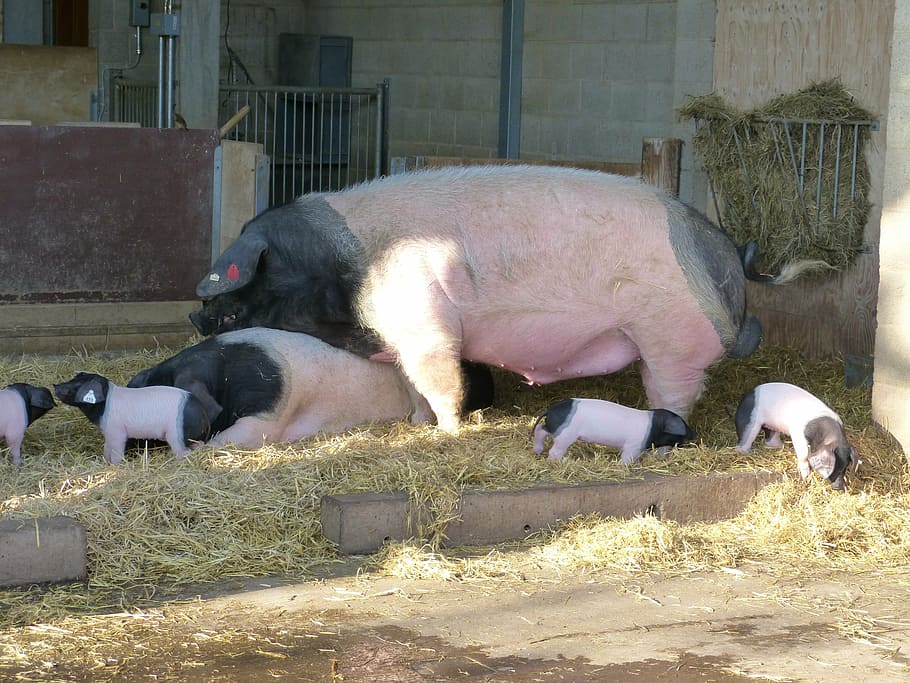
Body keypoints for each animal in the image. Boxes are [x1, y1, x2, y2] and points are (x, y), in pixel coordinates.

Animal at [53, 372, 213, 463]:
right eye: (74, 378)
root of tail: (203, 414)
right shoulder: (108, 433)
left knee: (184, 452)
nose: (55, 385)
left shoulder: (117, 432)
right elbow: (106, 448)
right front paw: (105, 462)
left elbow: (116, 452)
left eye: (78, 384)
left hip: (177, 435)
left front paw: (115, 465)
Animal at [191, 165, 768, 433]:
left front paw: (448, 431)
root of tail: (727, 261)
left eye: (252, 283)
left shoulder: (425, 325)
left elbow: (442, 380)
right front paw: (418, 424)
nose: (197, 315)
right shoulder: (400, 340)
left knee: (673, 391)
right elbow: (414, 386)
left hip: (670, 336)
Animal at [531, 397, 696, 463]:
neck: (653, 428)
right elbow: (626, 458)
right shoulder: (632, 446)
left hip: (553, 428)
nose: (695, 434)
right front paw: (626, 466)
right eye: (683, 426)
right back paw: (559, 462)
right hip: (566, 435)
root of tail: (551, 409)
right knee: (554, 451)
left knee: (540, 429)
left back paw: (537, 451)